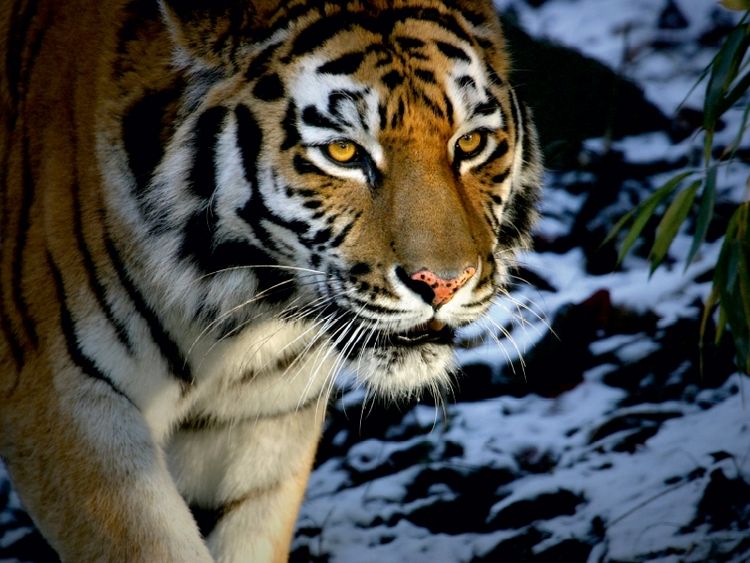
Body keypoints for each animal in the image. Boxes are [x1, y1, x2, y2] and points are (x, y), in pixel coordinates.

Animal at [0, 0, 542, 561]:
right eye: (343, 153)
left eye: (471, 142)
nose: (444, 283)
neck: (237, 312)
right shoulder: (67, 402)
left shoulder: (261, 419)